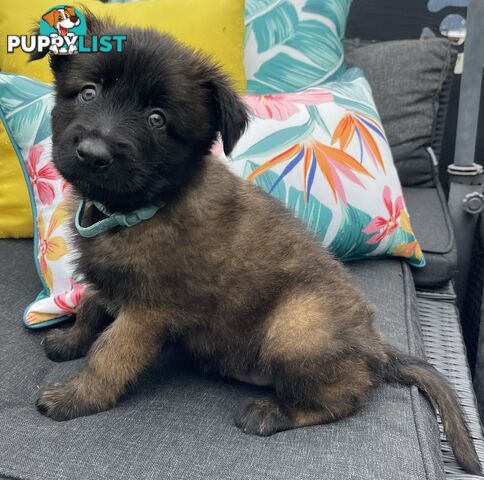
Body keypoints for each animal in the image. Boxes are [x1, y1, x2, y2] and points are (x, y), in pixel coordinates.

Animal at [30, 13, 480, 474]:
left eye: (157, 119)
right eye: (88, 92)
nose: (93, 153)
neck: (143, 208)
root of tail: (376, 346)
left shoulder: (149, 311)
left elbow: (110, 354)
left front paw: (78, 396)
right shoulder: (108, 280)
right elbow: (90, 306)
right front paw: (70, 340)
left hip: (296, 325)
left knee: (346, 395)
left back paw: (273, 411)